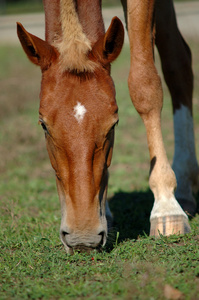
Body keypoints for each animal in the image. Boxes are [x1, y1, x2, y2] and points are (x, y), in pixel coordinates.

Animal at [16, 0, 197, 253]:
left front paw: (166, 208)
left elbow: (145, 85)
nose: (82, 238)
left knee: (176, 62)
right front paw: (107, 214)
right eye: (44, 126)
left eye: (113, 125)